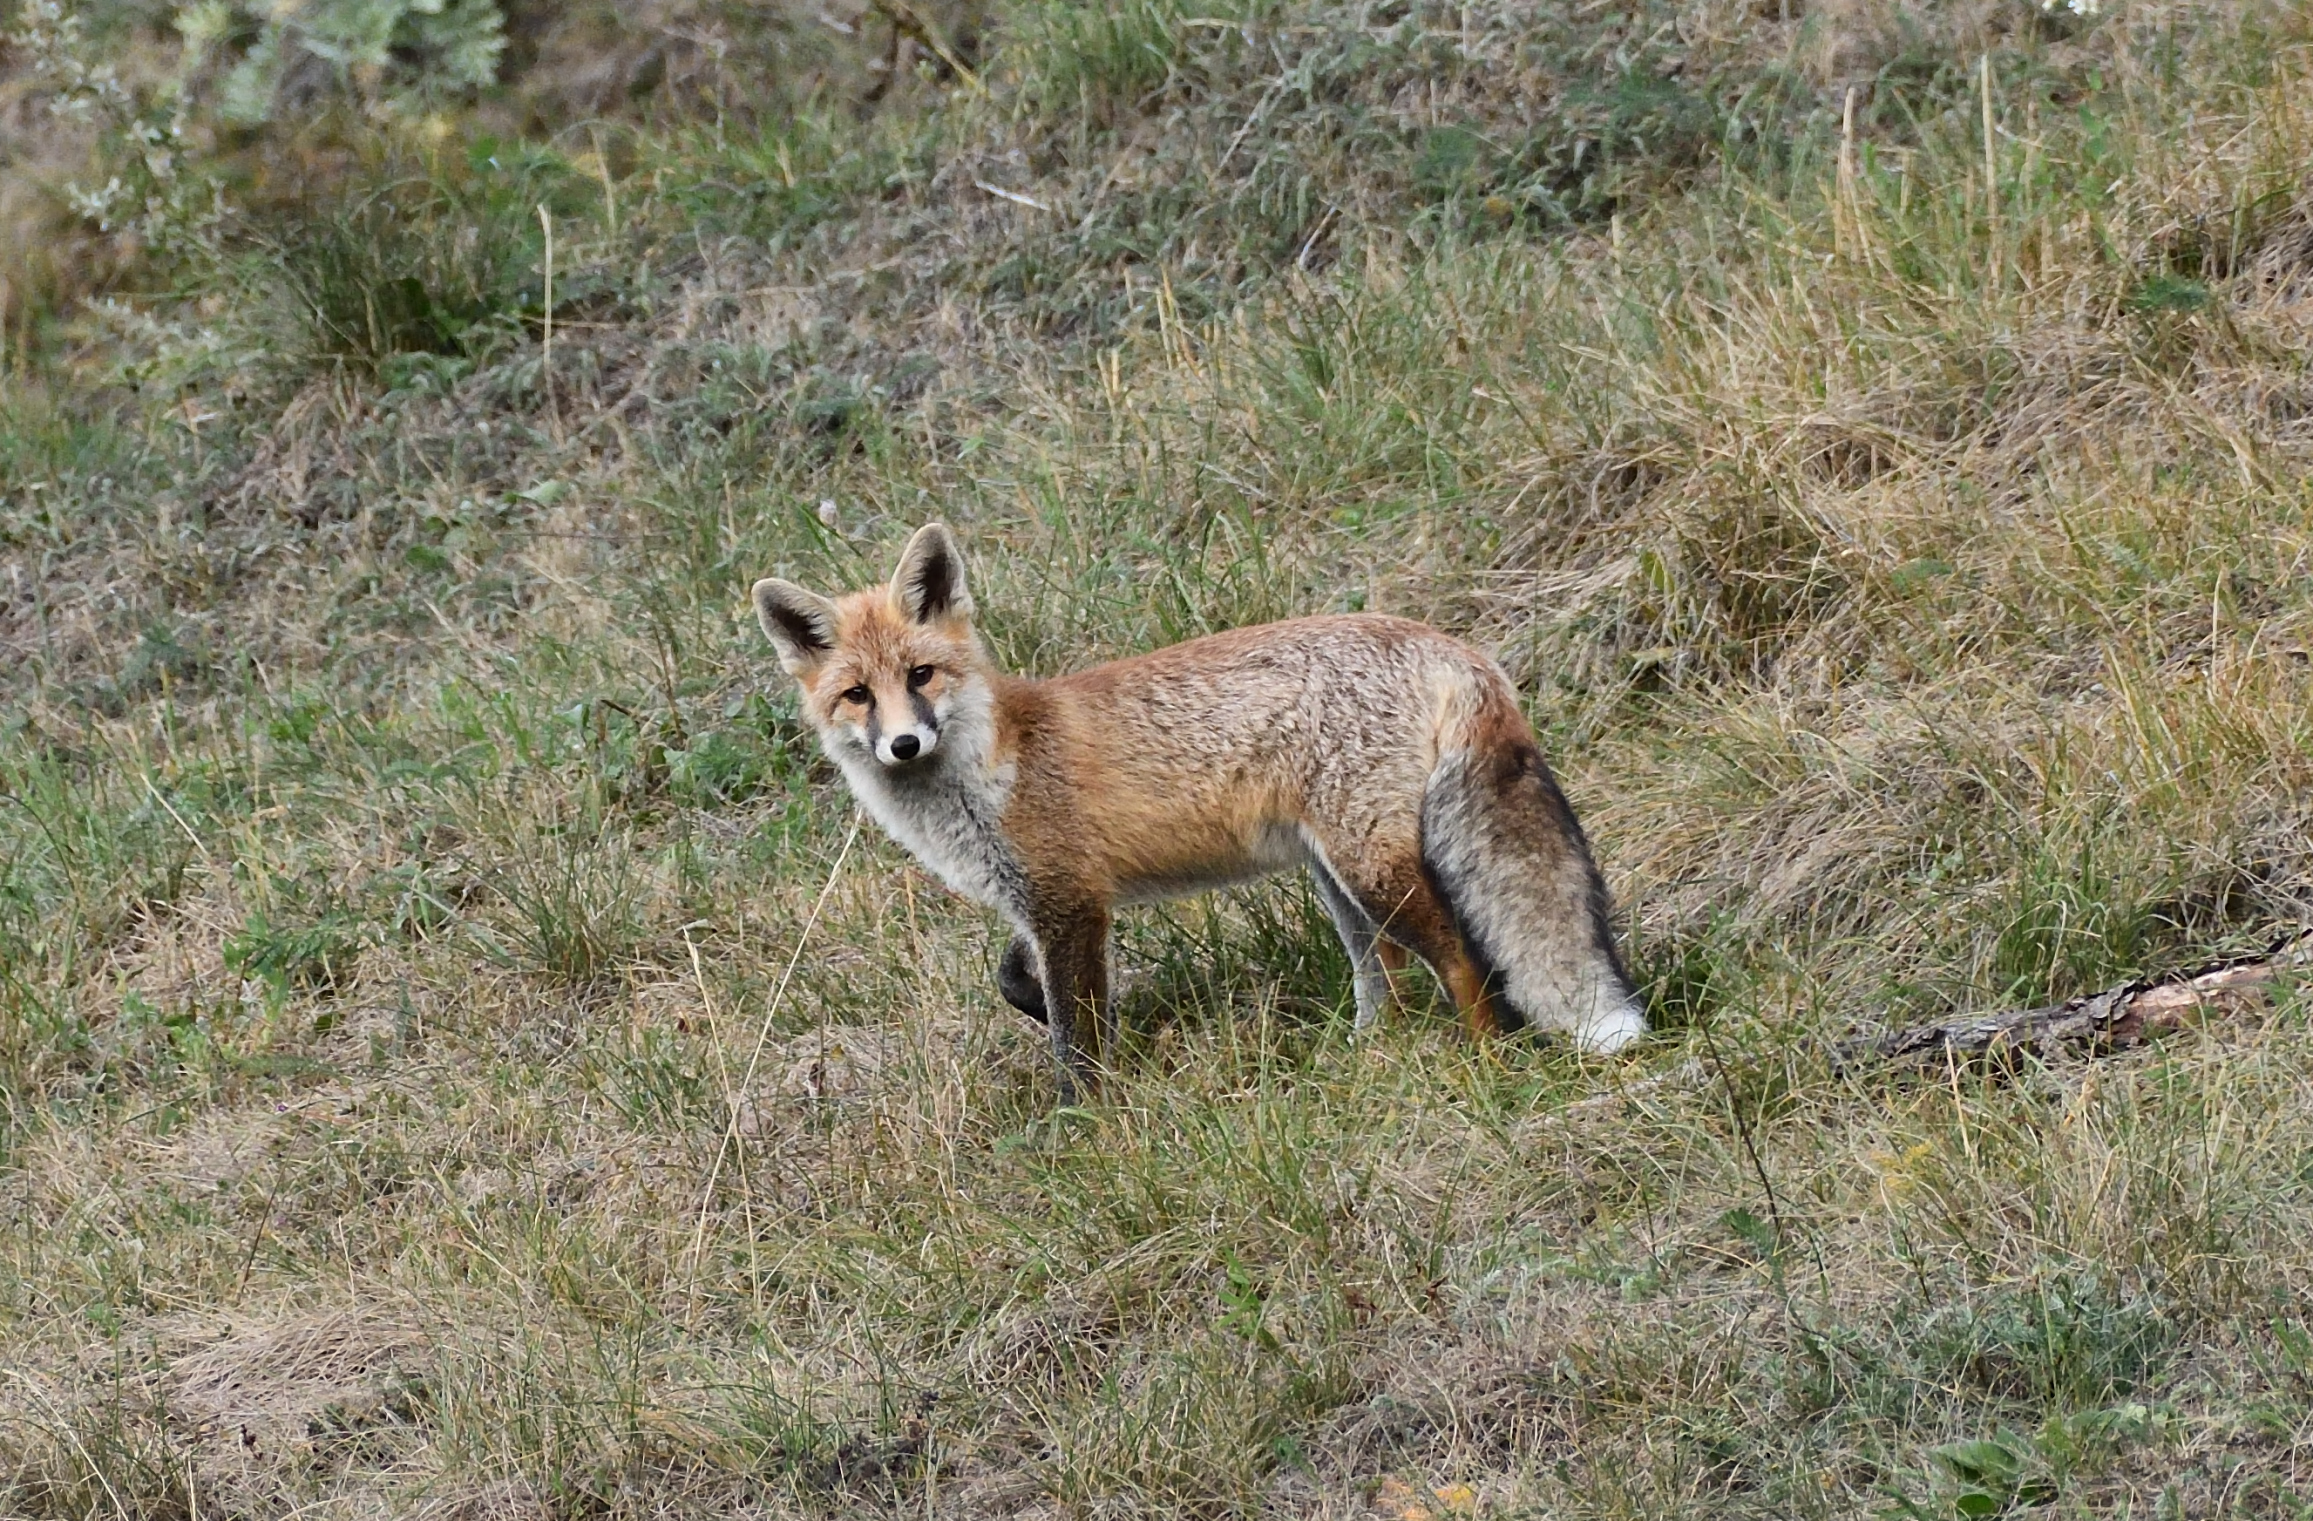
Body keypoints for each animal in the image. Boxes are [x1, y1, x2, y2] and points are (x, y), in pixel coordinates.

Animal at [751, 523, 1646, 1101]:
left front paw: (1085, 1124)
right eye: (858, 695)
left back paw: (1486, 1062)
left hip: (1370, 867)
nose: (903, 744)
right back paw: (1366, 1056)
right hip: (1335, 877)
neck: (991, 762)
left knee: (1461, 958)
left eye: (922, 676)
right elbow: (1018, 982)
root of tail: (1447, 642)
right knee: (1382, 971)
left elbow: (1074, 1040)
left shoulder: (1071, 903)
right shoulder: (1041, 900)